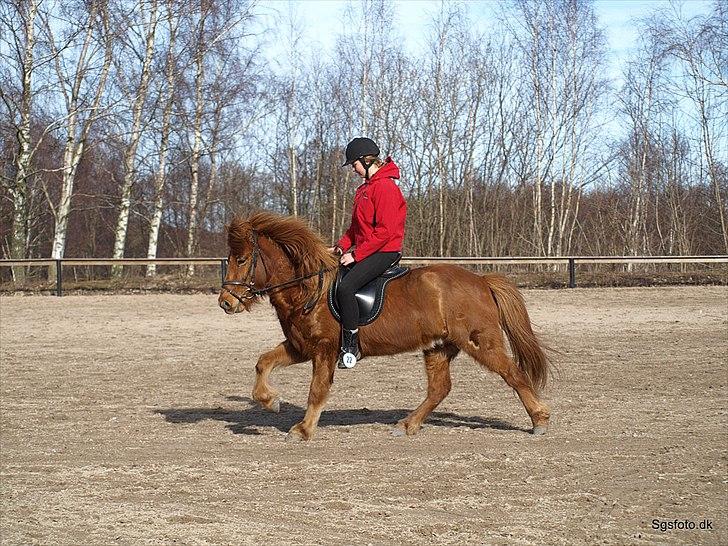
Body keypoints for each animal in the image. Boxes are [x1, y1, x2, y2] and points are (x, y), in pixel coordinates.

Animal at [218, 210, 552, 440]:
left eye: (243, 259)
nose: (226, 303)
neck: (309, 288)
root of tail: (481, 281)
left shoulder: (324, 349)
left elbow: (317, 390)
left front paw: (303, 429)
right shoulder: (301, 347)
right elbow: (263, 362)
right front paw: (271, 401)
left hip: (480, 342)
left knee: (513, 374)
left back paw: (539, 420)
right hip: (439, 347)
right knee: (439, 388)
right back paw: (408, 424)